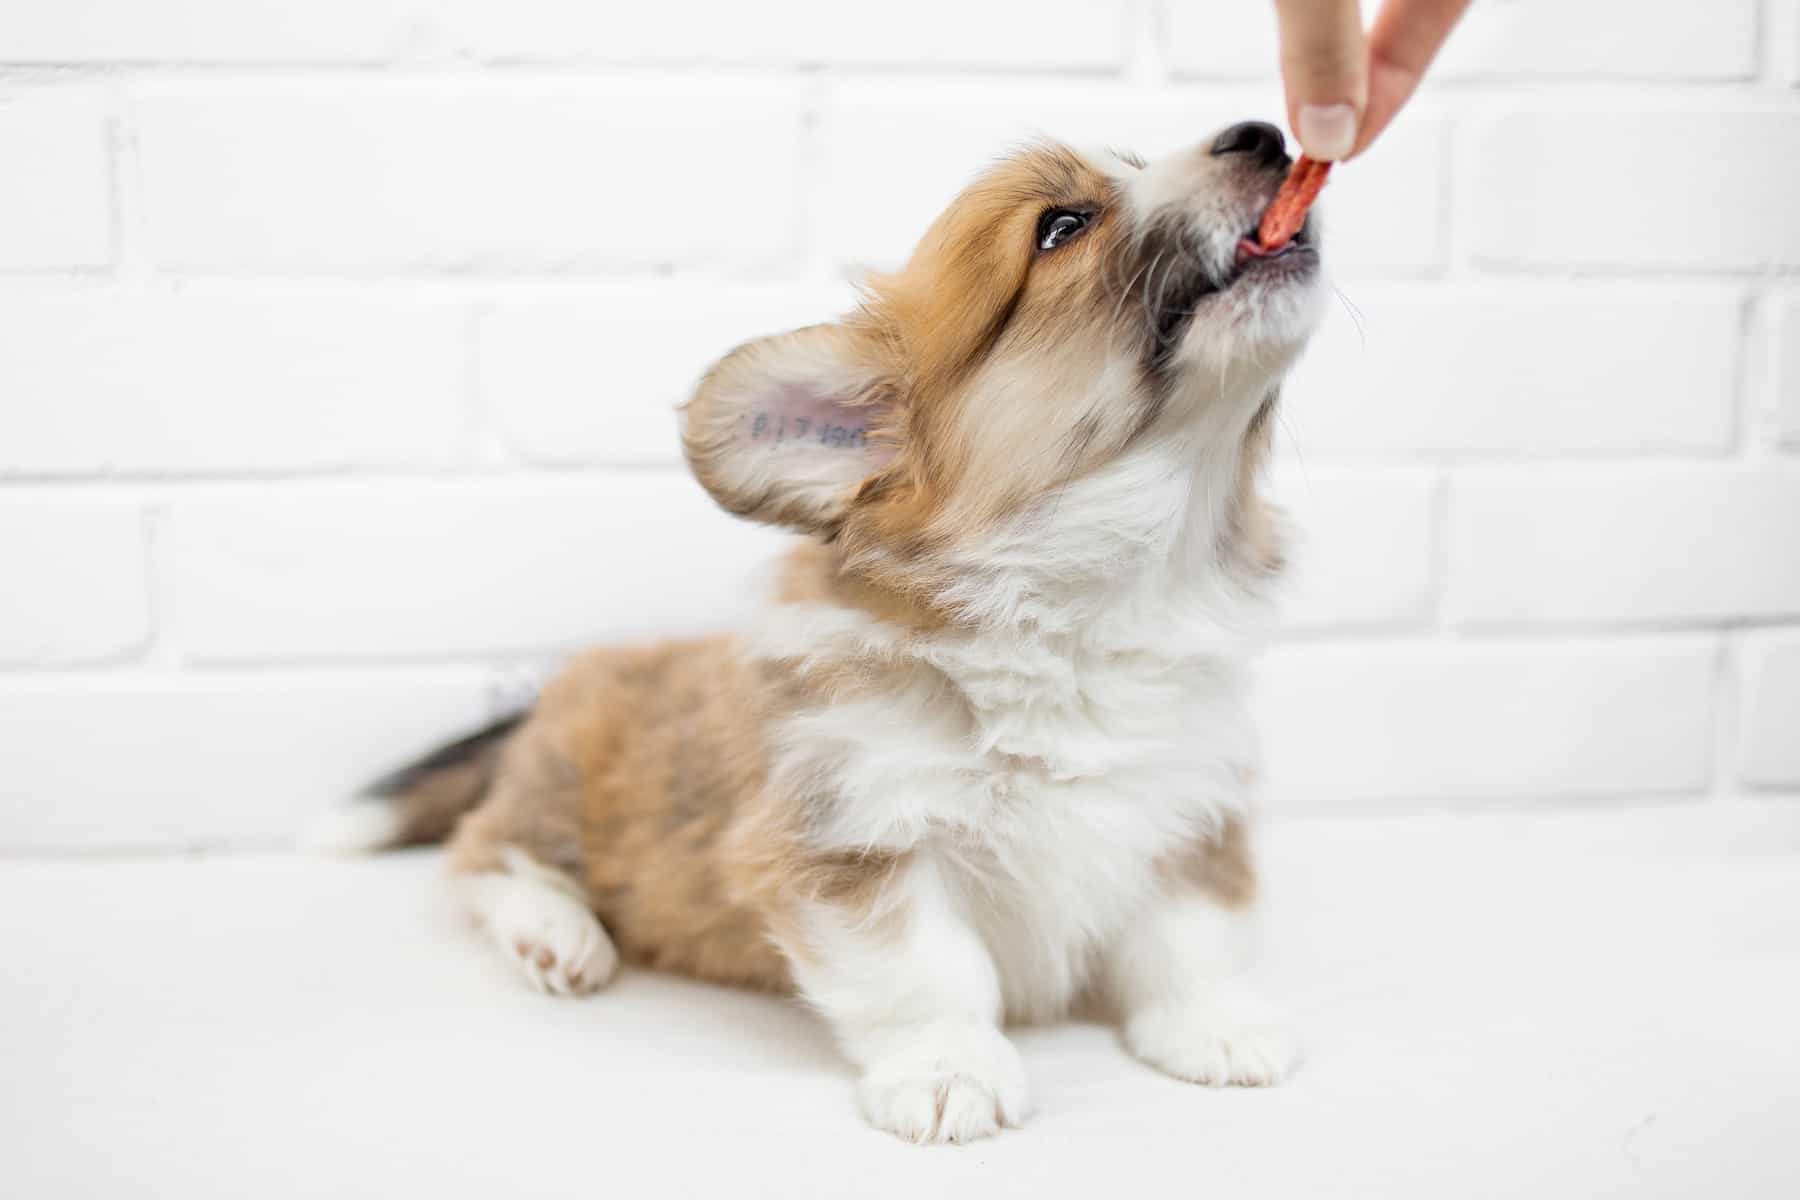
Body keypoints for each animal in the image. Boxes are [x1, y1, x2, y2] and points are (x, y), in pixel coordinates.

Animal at [334, 119, 1324, 1144]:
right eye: (1061, 226)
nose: (1265, 134)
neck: (1097, 601)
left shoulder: (1188, 809)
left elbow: (1191, 937)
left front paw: (1214, 1027)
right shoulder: (857, 836)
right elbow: (928, 970)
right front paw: (948, 1069)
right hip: (562, 786)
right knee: (484, 853)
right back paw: (557, 933)